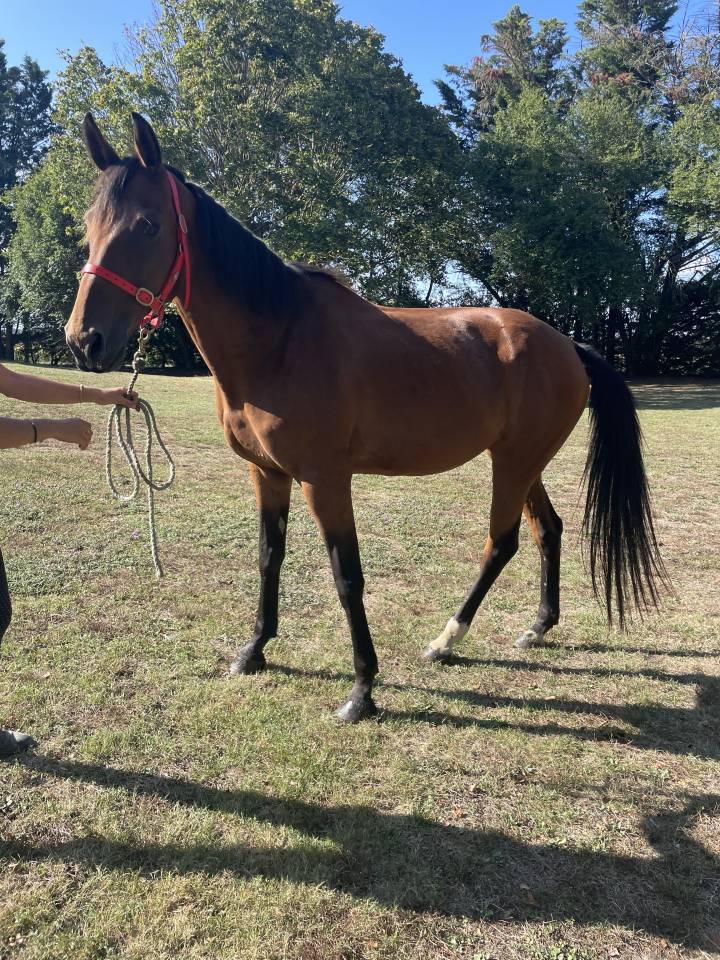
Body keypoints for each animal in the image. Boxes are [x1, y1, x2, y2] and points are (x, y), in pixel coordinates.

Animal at [65, 113, 668, 722]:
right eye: (89, 224)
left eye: (148, 225)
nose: (84, 340)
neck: (280, 339)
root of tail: (567, 345)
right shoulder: (268, 474)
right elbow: (268, 558)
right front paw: (254, 650)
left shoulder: (326, 480)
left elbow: (346, 575)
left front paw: (362, 689)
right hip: (523, 462)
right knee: (548, 529)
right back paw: (538, 626)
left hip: (514, 464)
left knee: (502, 542)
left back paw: (447, 639)